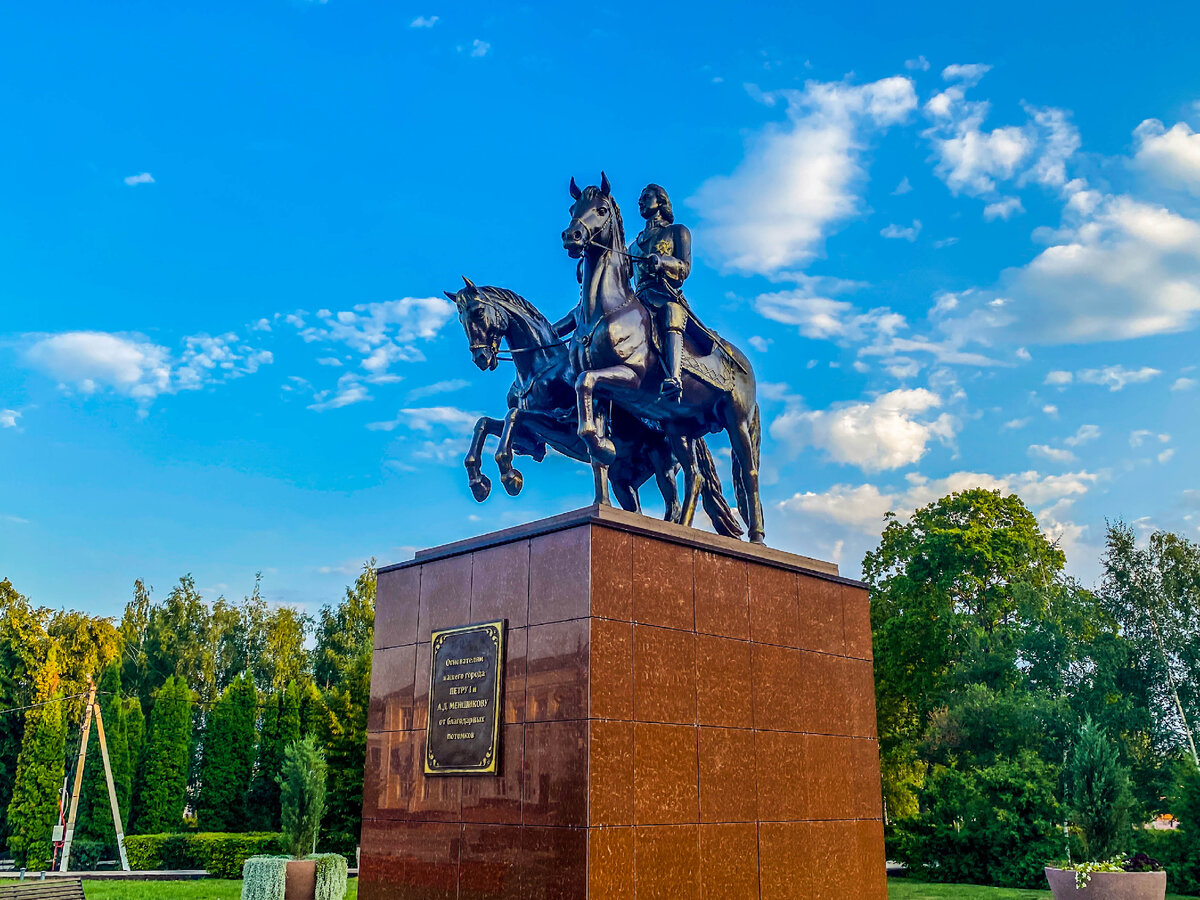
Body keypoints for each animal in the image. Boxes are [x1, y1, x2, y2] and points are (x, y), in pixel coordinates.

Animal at [444, 282, 734, 535]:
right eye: (460, 318)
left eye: (478, 312)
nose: (481, 358)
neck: (537, 370)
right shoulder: (530, 440)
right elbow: (485, 423)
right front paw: (479, 483)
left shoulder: (561, 425)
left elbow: (512, 415)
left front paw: (509, 476)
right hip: (623, 479)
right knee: (636, 506)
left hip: (662, 464)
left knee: (673, 503)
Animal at [561, 174, 768, 547]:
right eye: (573, 208)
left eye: (601, 209)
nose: (572, 236)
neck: (605, 310)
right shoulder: (600, 393)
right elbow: (587, 414)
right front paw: (602, 461)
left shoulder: (628, 377)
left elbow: (584, 382)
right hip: (678, 428)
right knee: (694, 476)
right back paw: (681, 527)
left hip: (737, 421)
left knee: (749, 471)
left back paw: (757, 537)